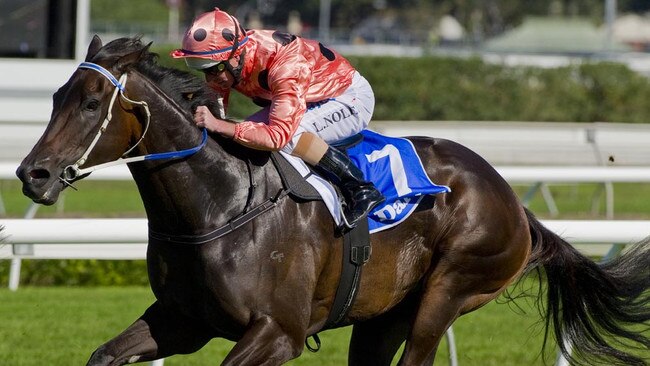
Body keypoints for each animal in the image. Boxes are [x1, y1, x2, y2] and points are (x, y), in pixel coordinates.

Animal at [15, 35, 648, 366]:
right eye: (56, 95)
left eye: (91, 102)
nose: (31, 174)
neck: (219, 207)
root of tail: (515, 203)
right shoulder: (183, 319)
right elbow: (105, 354)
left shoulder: (278, 331)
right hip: (383, 315)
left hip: (451, 289)